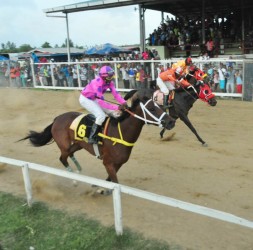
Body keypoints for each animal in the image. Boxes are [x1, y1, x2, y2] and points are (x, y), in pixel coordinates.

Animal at [19, 89, 175, 185]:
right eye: (152, 108)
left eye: (160, 105)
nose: (171, 121)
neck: (120, 133)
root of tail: (57, 119)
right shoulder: (108, 163)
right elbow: (116, 183)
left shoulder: (118, 163)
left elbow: (110, 180)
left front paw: (99, 188)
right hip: (64, 145)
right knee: (63, 158)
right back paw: (74, 178)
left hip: (77, 144)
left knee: (70, 155)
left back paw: (79, 171)